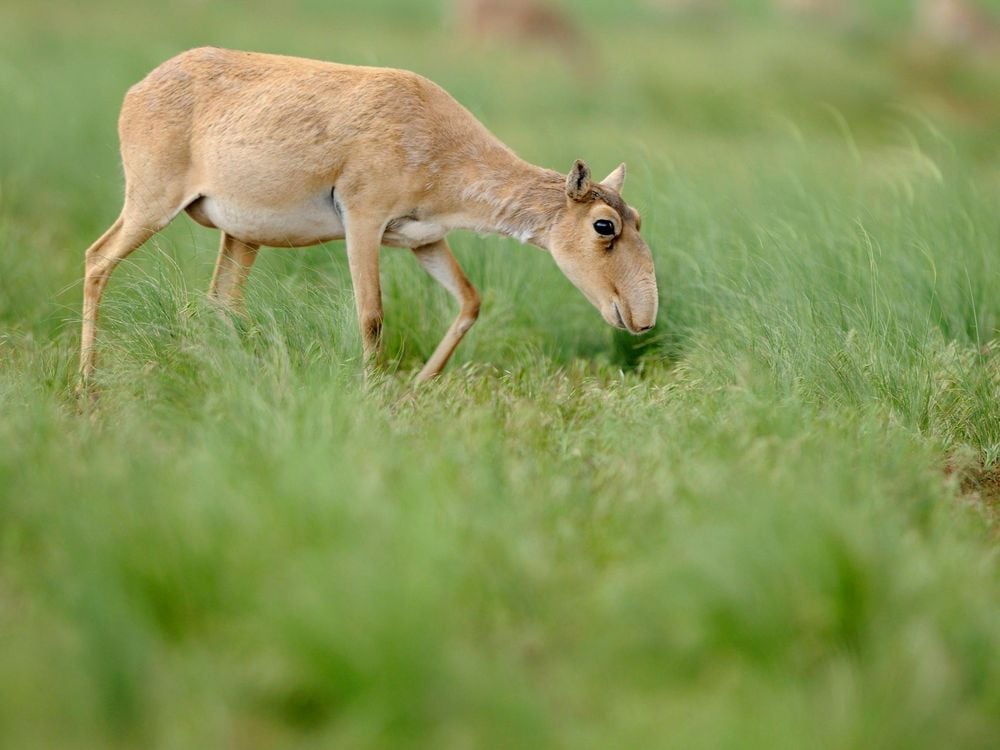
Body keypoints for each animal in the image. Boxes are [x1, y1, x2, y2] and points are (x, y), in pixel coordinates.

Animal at [76, 47, 656, 388]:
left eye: (637, 217)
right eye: (603, 224)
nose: (643, 318)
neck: (438, 138)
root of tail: (139, 89)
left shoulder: (424, 240)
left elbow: (470, 300)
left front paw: (419, 386)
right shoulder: (362, 222)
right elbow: (372, 315)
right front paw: (373, 395)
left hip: (240, 236)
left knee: (221, 301)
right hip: (150, 204)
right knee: (97, 259)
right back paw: (86, 386)